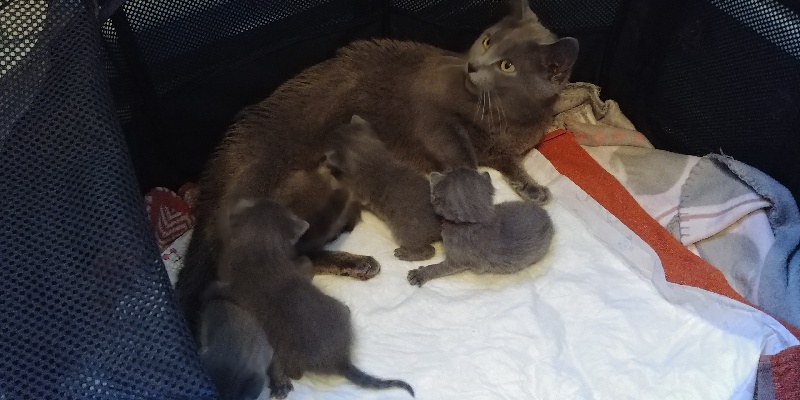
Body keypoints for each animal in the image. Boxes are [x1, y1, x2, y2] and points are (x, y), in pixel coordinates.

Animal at [326, 114, 444, 260]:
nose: (331, 129)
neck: (370, 156)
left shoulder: (358, 191)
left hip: (404, 232)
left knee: (429, 250)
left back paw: (404, 253)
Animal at [410, 167, 552, 286]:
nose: (433, 173)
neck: (472, 222)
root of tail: (549, 220)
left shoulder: (458, 261)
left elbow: (441, 268)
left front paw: (421, 273)